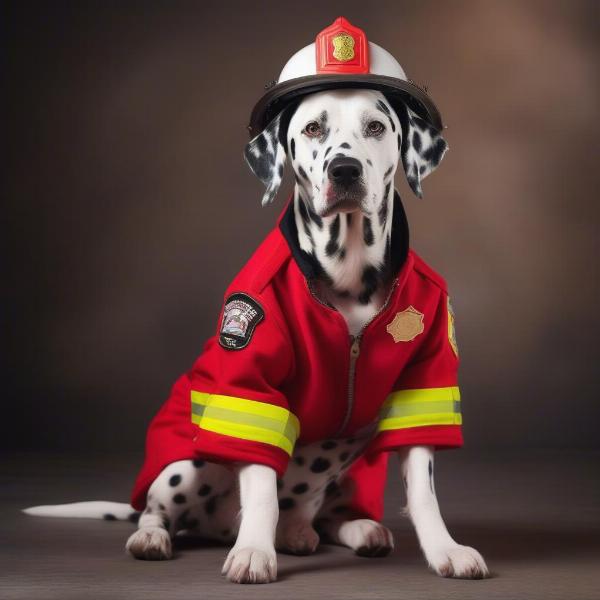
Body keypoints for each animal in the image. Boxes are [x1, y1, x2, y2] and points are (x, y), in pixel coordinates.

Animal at [25, 91, 490, 584]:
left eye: (376, 127)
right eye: (312, 128)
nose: (344, 170)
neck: (349, 274)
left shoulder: (423, 390)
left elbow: (423, 491)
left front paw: (445, 549)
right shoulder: (252, 388)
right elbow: (262, 486)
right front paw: (253, 552)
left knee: (324, 518)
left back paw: (343, 528)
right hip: (189, 463)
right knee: (157, 511)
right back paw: (156, 537)